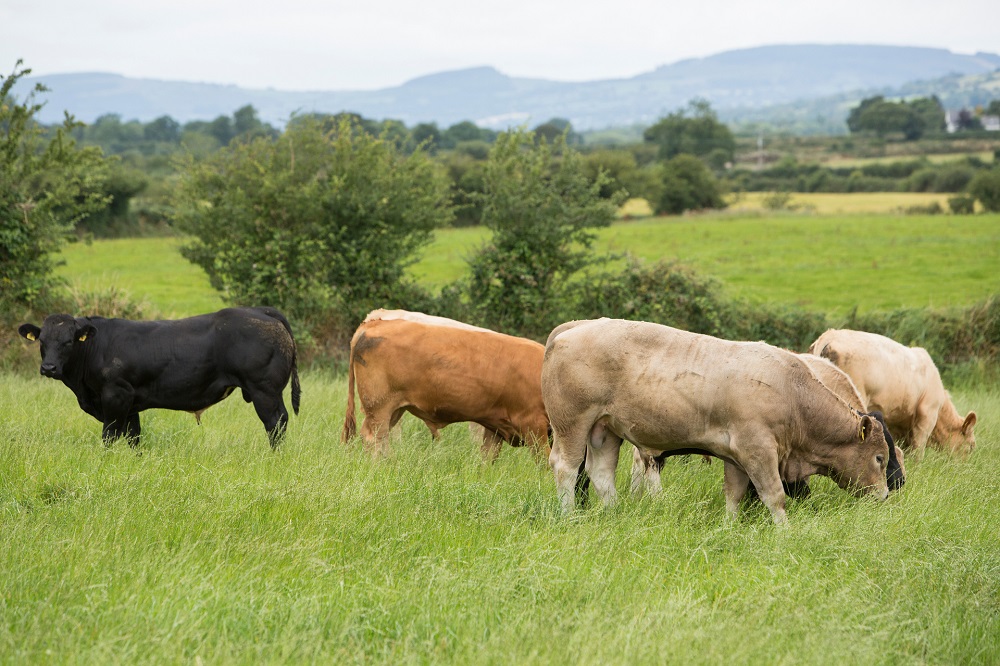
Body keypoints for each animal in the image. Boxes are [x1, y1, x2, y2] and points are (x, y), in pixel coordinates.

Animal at [18, 306, 300, 446]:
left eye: (68, 342)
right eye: (42, 341)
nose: (49, 368)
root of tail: (261, 311)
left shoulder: (115, 395)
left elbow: (109, 435)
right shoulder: (130, 404)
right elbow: (133, 437)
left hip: (264, 391)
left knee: (275, 423)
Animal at [342, 310, 548, 456]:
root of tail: (372, 323)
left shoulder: (495, 425)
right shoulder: (535, 426)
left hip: (394, 409)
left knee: (384, 438)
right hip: (378, 407)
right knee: (373, 438)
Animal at [544, 320, 896, 520]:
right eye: (880, 458)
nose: (885, 495)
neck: (791, 392)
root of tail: (572, 327)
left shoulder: (736, 457)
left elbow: (734, 495)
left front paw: (729, 527)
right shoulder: (758, 451)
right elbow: (774, 496)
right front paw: (784, 532)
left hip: (604, 430)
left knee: (601, 474)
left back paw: (614, 514)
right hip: (572, 424)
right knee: (566, 468)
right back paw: (569, 515)